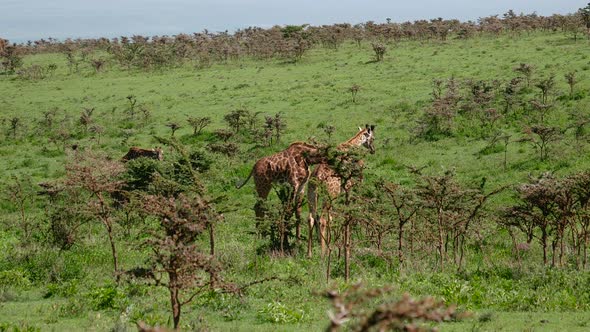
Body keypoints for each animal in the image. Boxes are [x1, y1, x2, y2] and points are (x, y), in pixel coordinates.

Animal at [308, 124, 376, 256]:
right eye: (373, 138)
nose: (373, 150)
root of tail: (317, 176)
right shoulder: (348, 187)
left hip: (312, 194)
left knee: (312, 218)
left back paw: (309, 254)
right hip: (329, 195)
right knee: (322, 219)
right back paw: (324, 253)